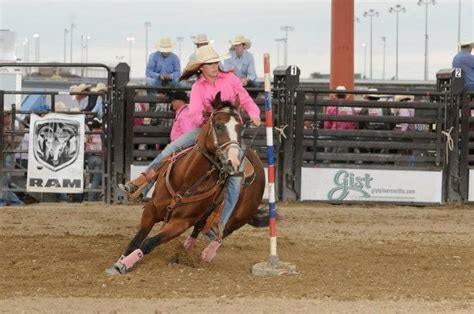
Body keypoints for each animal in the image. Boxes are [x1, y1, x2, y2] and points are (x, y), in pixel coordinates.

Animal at [105, 92, 264, 274]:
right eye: (218, 126)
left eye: (240, 128)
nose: (234, 163)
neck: (186, 179)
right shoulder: (151, 209)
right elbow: (136, 240)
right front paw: (119, 262)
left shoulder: (181, 223)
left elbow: (148, 243)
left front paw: (123, 265)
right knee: (199, 228)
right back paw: (186, 249)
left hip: (237, 219)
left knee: (221, 234)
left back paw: (208, 252)